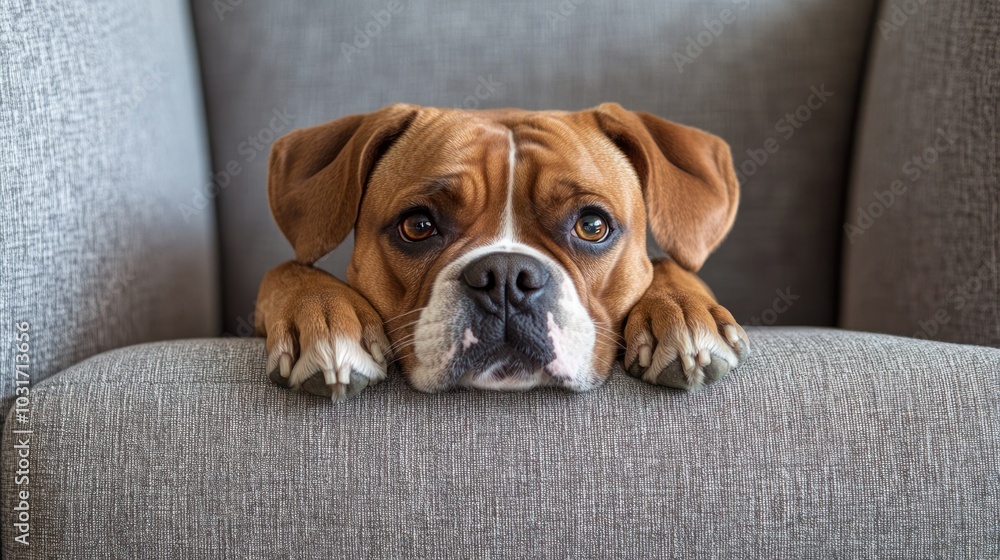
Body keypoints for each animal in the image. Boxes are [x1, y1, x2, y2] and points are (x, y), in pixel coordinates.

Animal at [254, 103, 748, 400]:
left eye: (592, 226)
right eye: (418, 225)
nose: (506, 277)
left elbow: (670, 264)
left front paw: (681, 311)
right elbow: (288, 269)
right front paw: (325, 314)